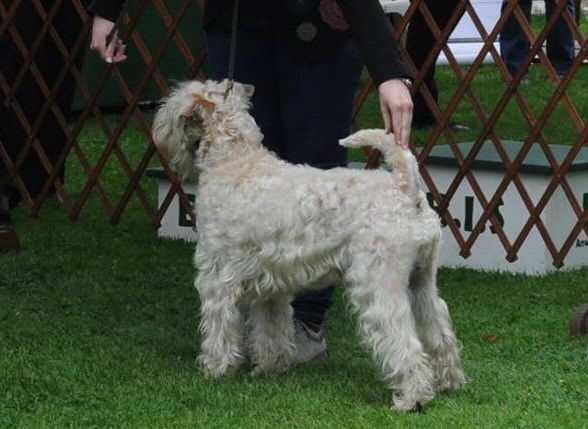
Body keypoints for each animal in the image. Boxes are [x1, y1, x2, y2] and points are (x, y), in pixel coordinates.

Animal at [154, 78, 466, 410]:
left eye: (174, 104)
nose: (158, 130)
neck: (234, 161)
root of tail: (406, 188)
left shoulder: (216, 279)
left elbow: (219, 327)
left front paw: (214, 369)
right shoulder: (270, 283)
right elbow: (271, 327)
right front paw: (269, 366)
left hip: (380, 284)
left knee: (404, 340)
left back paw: (412, 397)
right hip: (422, 281)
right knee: (439, 329)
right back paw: (448, 382)